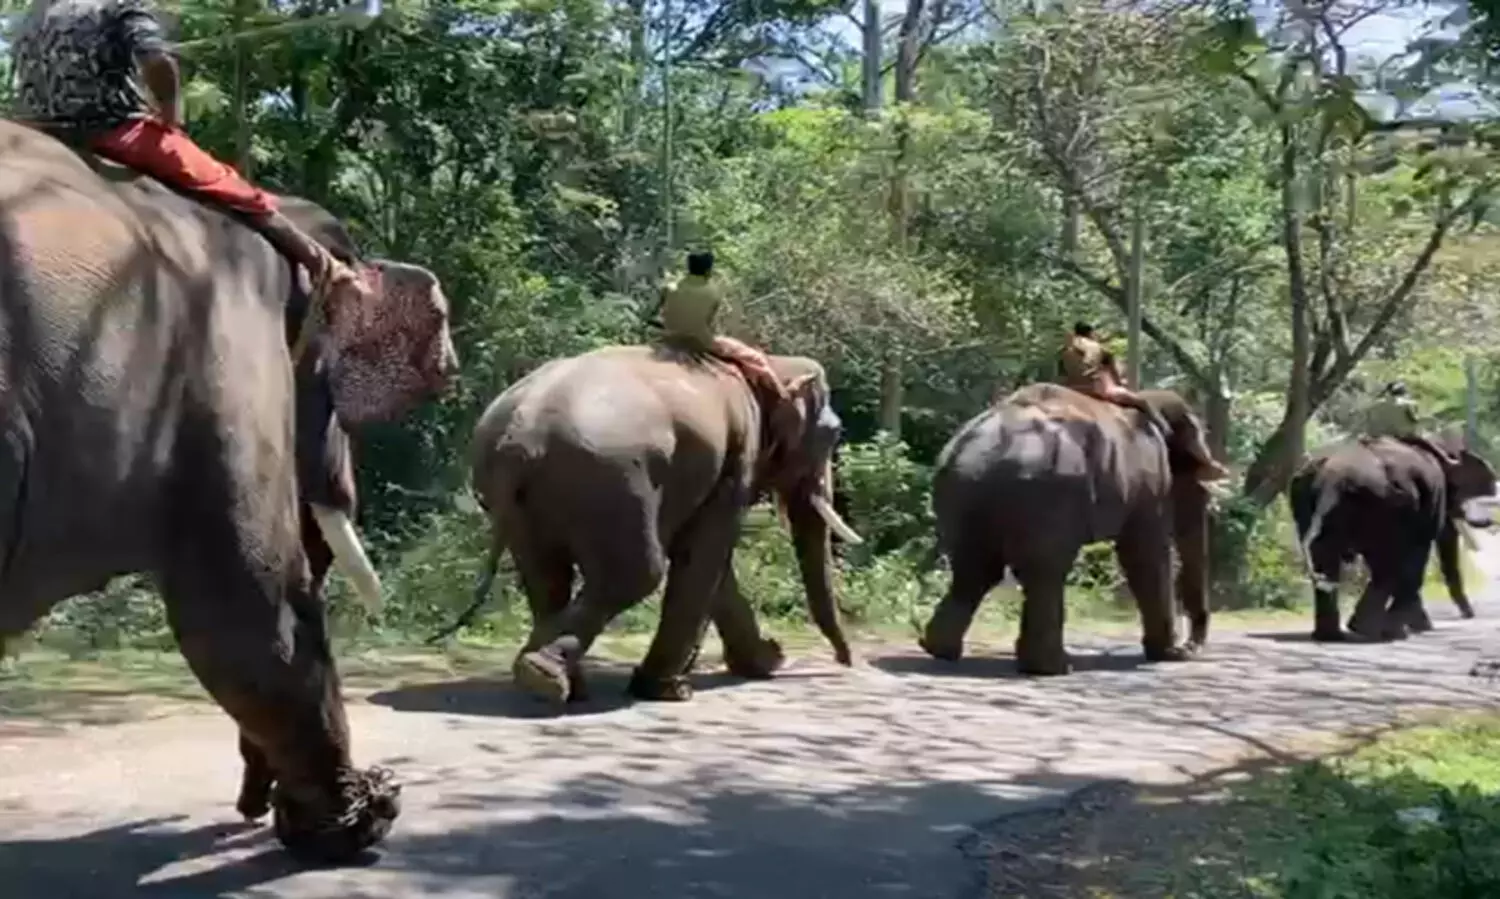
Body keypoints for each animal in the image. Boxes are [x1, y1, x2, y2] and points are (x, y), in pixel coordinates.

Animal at [466, 342, 862, 703]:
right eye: (834, 433)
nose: (846, 661)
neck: (771, 363)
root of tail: (520, 435)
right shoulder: (738, 458)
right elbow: (706, 553)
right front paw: (670, 689)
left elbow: (706, 562)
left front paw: (765, 661)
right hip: (613, 483)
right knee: (636, 573)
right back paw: (544, 677)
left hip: (528, 502)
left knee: (546, 577)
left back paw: (559, 683)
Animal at [919, 383, 1216, 675]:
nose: (1189, 649)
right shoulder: (1150, 480)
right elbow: (1146, 555)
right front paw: (1169, 655)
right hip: (1046, 496)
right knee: (1045, 571)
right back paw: (1055, 667)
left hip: (964, 492)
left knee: (975, 569)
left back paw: (939, 650)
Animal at [1288, 434, 1496, 642]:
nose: (1469, 615)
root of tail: (1332, 477)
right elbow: (1416, 559)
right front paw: (1412, 629)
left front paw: (1418, 627)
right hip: (1384, 502)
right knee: (1386, 563)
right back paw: (1371, 630)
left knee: (1327, 557)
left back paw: (1333, 635)